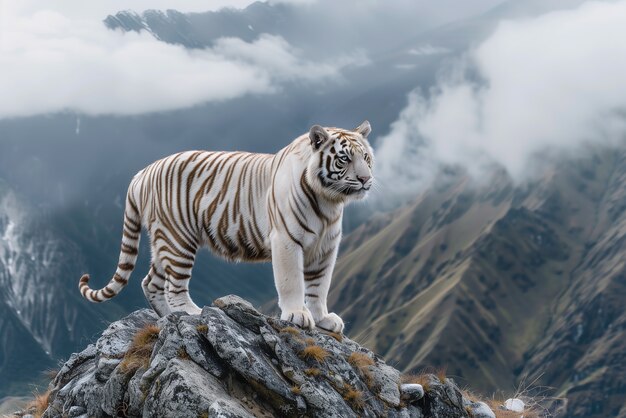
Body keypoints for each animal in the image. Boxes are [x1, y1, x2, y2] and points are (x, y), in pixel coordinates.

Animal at [78, 121, 370, 334]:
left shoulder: (326, 247)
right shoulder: (287, 240)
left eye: (366, 157)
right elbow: (292, 282)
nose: (366, 179)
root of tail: (141, 173)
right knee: (174, 286)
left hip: (163, 241)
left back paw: (169, 317)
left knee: (151, 282)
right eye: (344, 159)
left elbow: (319, 286)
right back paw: (193, 313)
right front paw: (297, 315)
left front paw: (323, 319)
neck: (329, 201)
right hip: (178, 239)